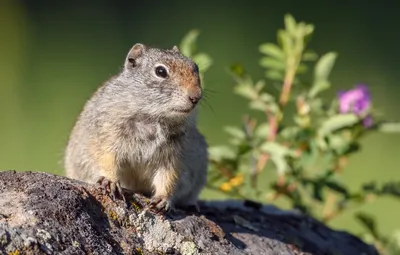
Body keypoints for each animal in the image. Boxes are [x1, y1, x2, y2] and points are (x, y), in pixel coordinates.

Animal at [64, 43, 208, 211]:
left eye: (195, 67)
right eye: (160, 71)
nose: (196, 96)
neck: (154, 117)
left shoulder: (174, 154)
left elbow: (167, 176)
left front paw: (162, 199)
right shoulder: (108, 135)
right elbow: (107, 159)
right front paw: (110, 181)